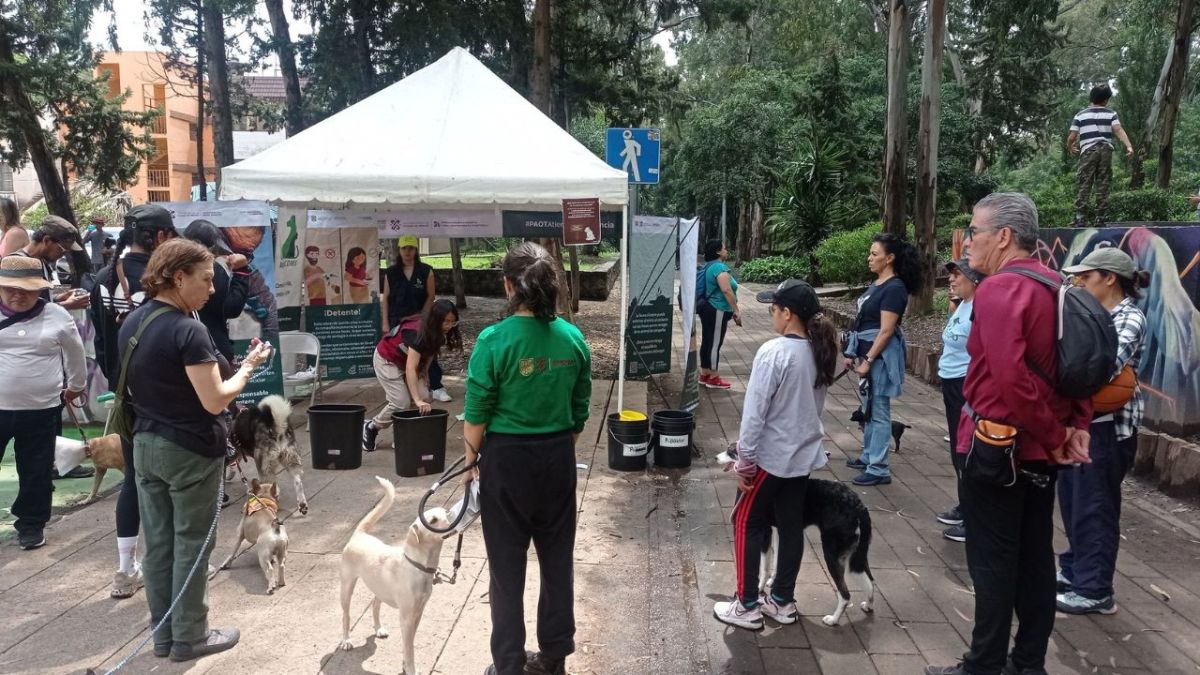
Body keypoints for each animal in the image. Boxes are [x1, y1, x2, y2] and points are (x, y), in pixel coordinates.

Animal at [340, 473, 451, 672]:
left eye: (444, 513)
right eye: (432, 521)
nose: (453, 517)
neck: (418, 566)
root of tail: (359, 534)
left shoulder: (418, 613)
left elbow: (408, 645)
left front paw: (405, 665)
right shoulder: (406, 618)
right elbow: (409, 647)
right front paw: (411, 669)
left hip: (379, 589)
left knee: (375, 605)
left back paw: (378, 629)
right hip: (346, 588)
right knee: (346, 616)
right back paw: (346, 640)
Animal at [715, 441, 878, 624]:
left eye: (731, 451)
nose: (715, 458)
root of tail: (858, 505)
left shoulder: (764, 532)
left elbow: (764, 567)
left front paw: (760, 587)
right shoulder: (779, 530)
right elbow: (778, 559)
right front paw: (773, 581)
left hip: (832, 554)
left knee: (845, 595)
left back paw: (833, 619)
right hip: (858, 555)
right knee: (870, 582)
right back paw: (868, 605)